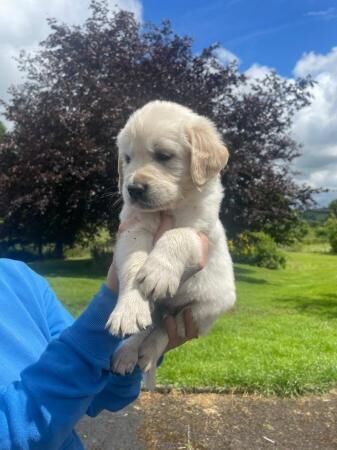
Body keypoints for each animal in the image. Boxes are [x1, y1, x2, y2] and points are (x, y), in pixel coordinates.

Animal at [106, 100, 235, 378]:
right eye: (127, 159)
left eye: (164, 156)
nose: (133, 189)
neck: (171, 207)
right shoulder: (133, 228)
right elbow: (134, 265)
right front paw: (128, 311)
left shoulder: (200, 230)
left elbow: (177, 234)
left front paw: (158, 273)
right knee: (147, 327)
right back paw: (126, 353)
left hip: (204, 309)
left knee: (165, 329)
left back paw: (147, 354)